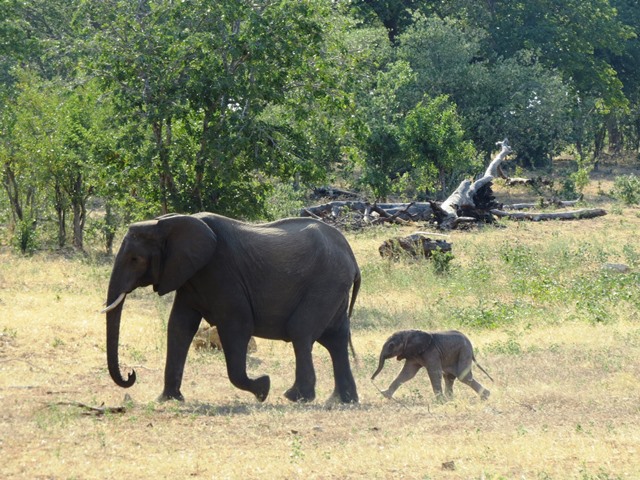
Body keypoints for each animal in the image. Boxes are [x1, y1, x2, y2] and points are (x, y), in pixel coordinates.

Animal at [102, 212, 361, 404]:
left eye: (135, 259)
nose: (131, 374)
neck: (168, 222)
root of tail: (351, 255)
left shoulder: (222, 273)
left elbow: (237, 327)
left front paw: (263, 388)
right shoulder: (190, 275)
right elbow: (179, 326)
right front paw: (167, 399)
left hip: (326, 283)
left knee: (301, 331)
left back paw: (295, 397)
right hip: (334, 287)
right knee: (335, 339)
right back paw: (341, 400)